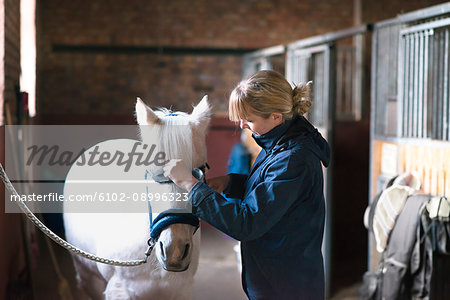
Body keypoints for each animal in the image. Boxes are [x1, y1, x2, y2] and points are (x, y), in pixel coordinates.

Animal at [62, 97, 212, 298]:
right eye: (151, 171)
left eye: (200, 170)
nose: (174, 251)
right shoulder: (119, 289)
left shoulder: (182, 290)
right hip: (88, 276)